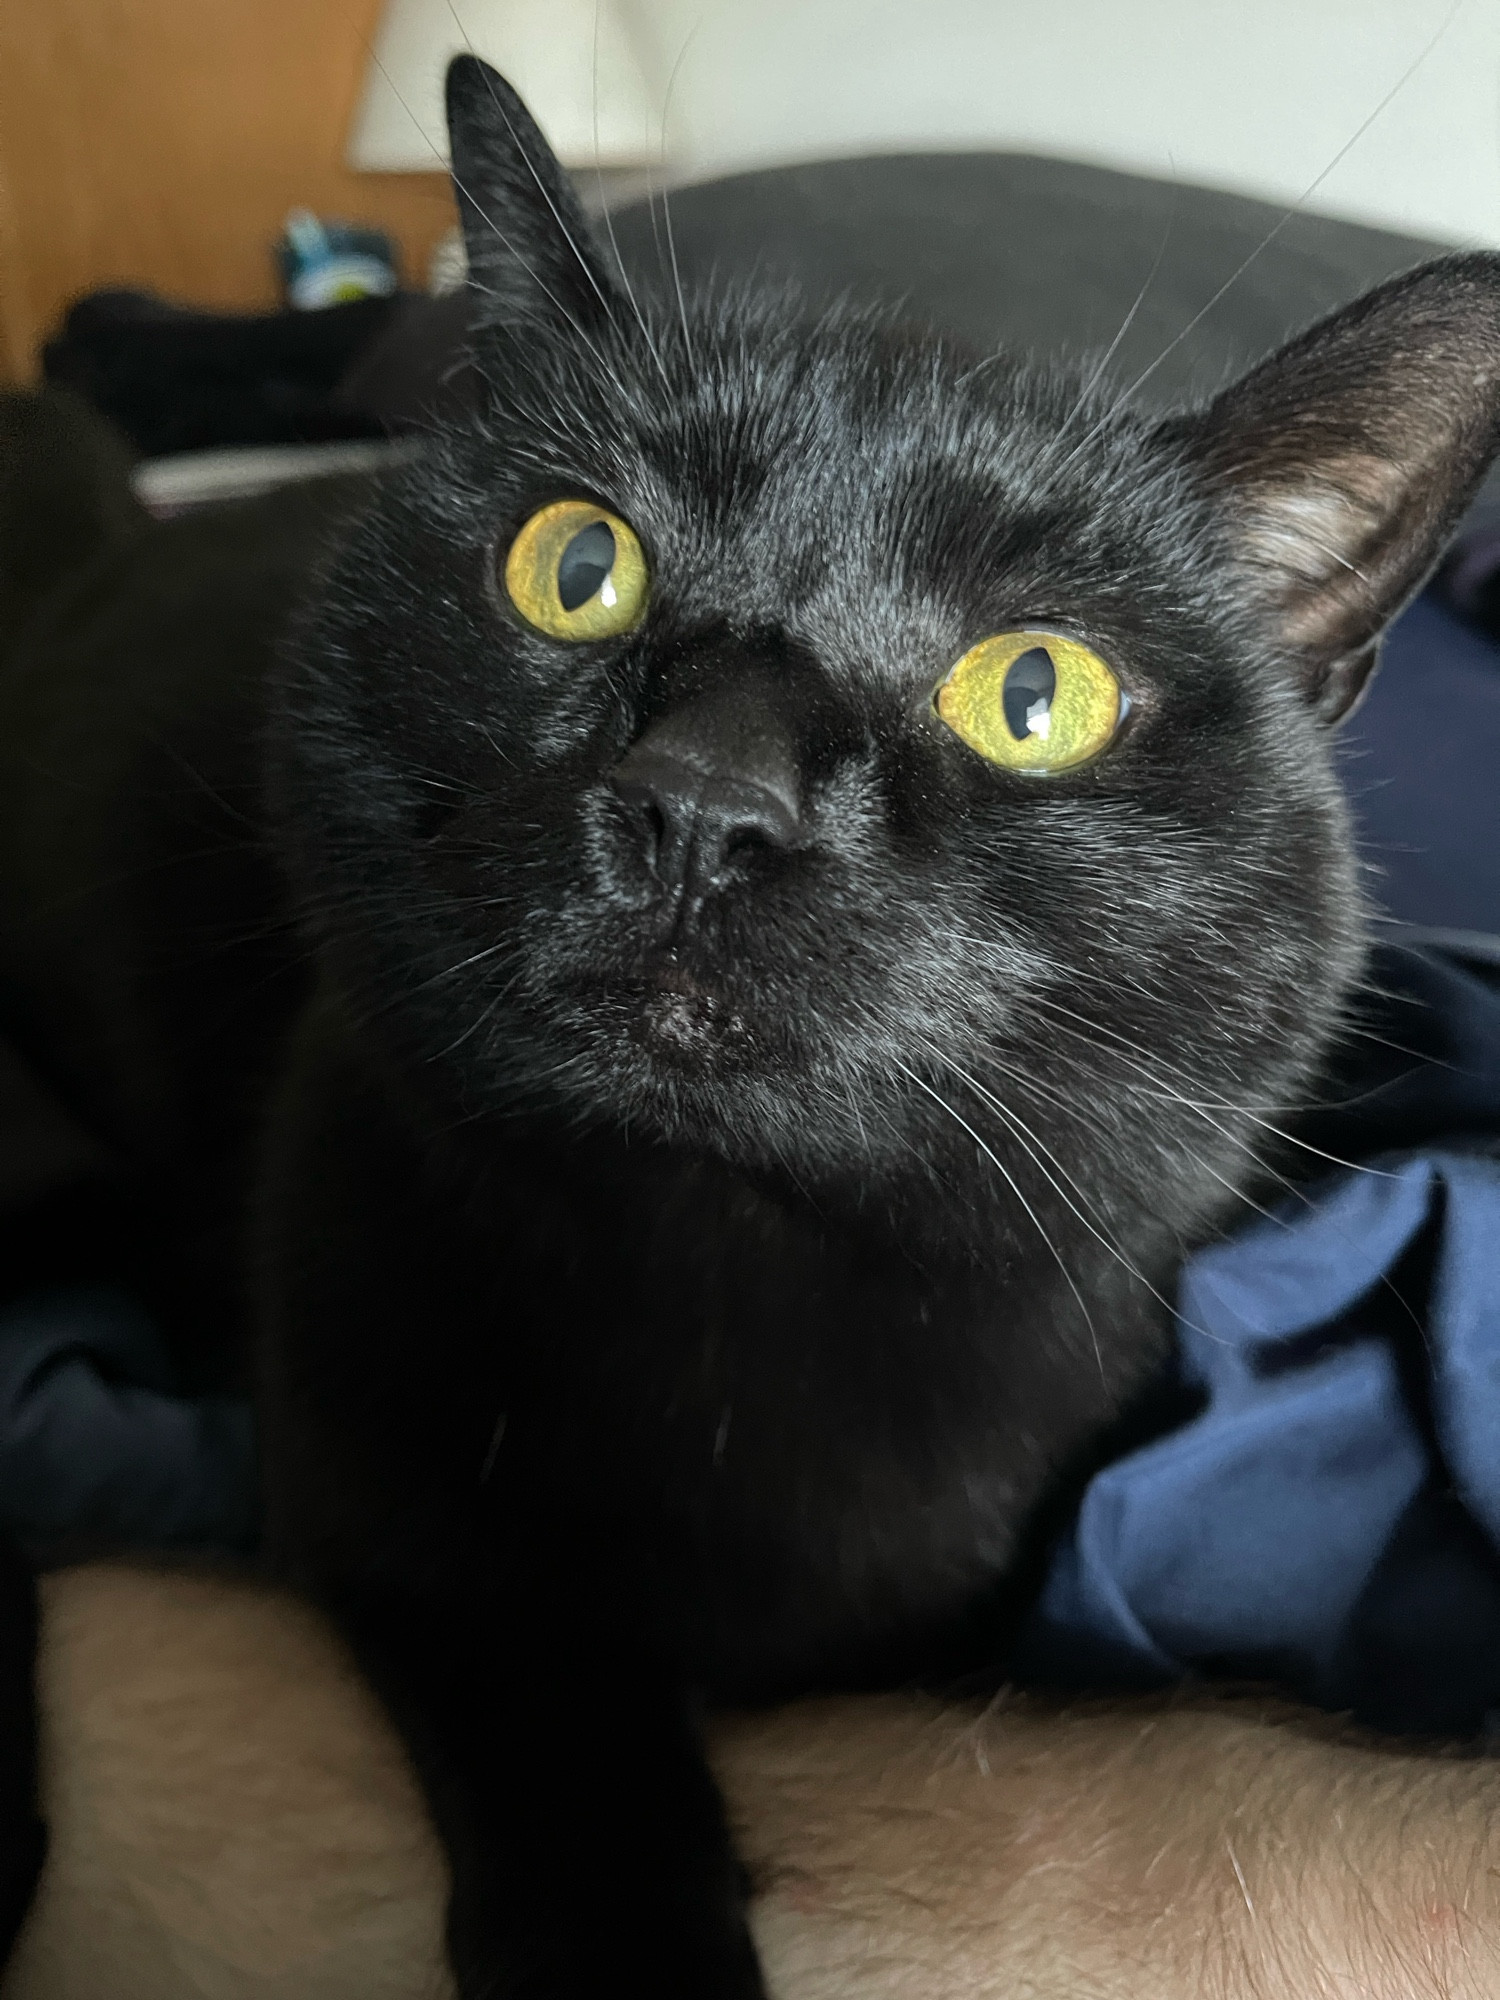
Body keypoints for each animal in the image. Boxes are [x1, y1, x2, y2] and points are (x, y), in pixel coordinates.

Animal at [2, 58, 1500, 2000]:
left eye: (1037, 692)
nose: (707, 799)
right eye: (576, 564)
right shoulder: (368, 1467)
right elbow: (546, 1695)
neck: (731, 1274)